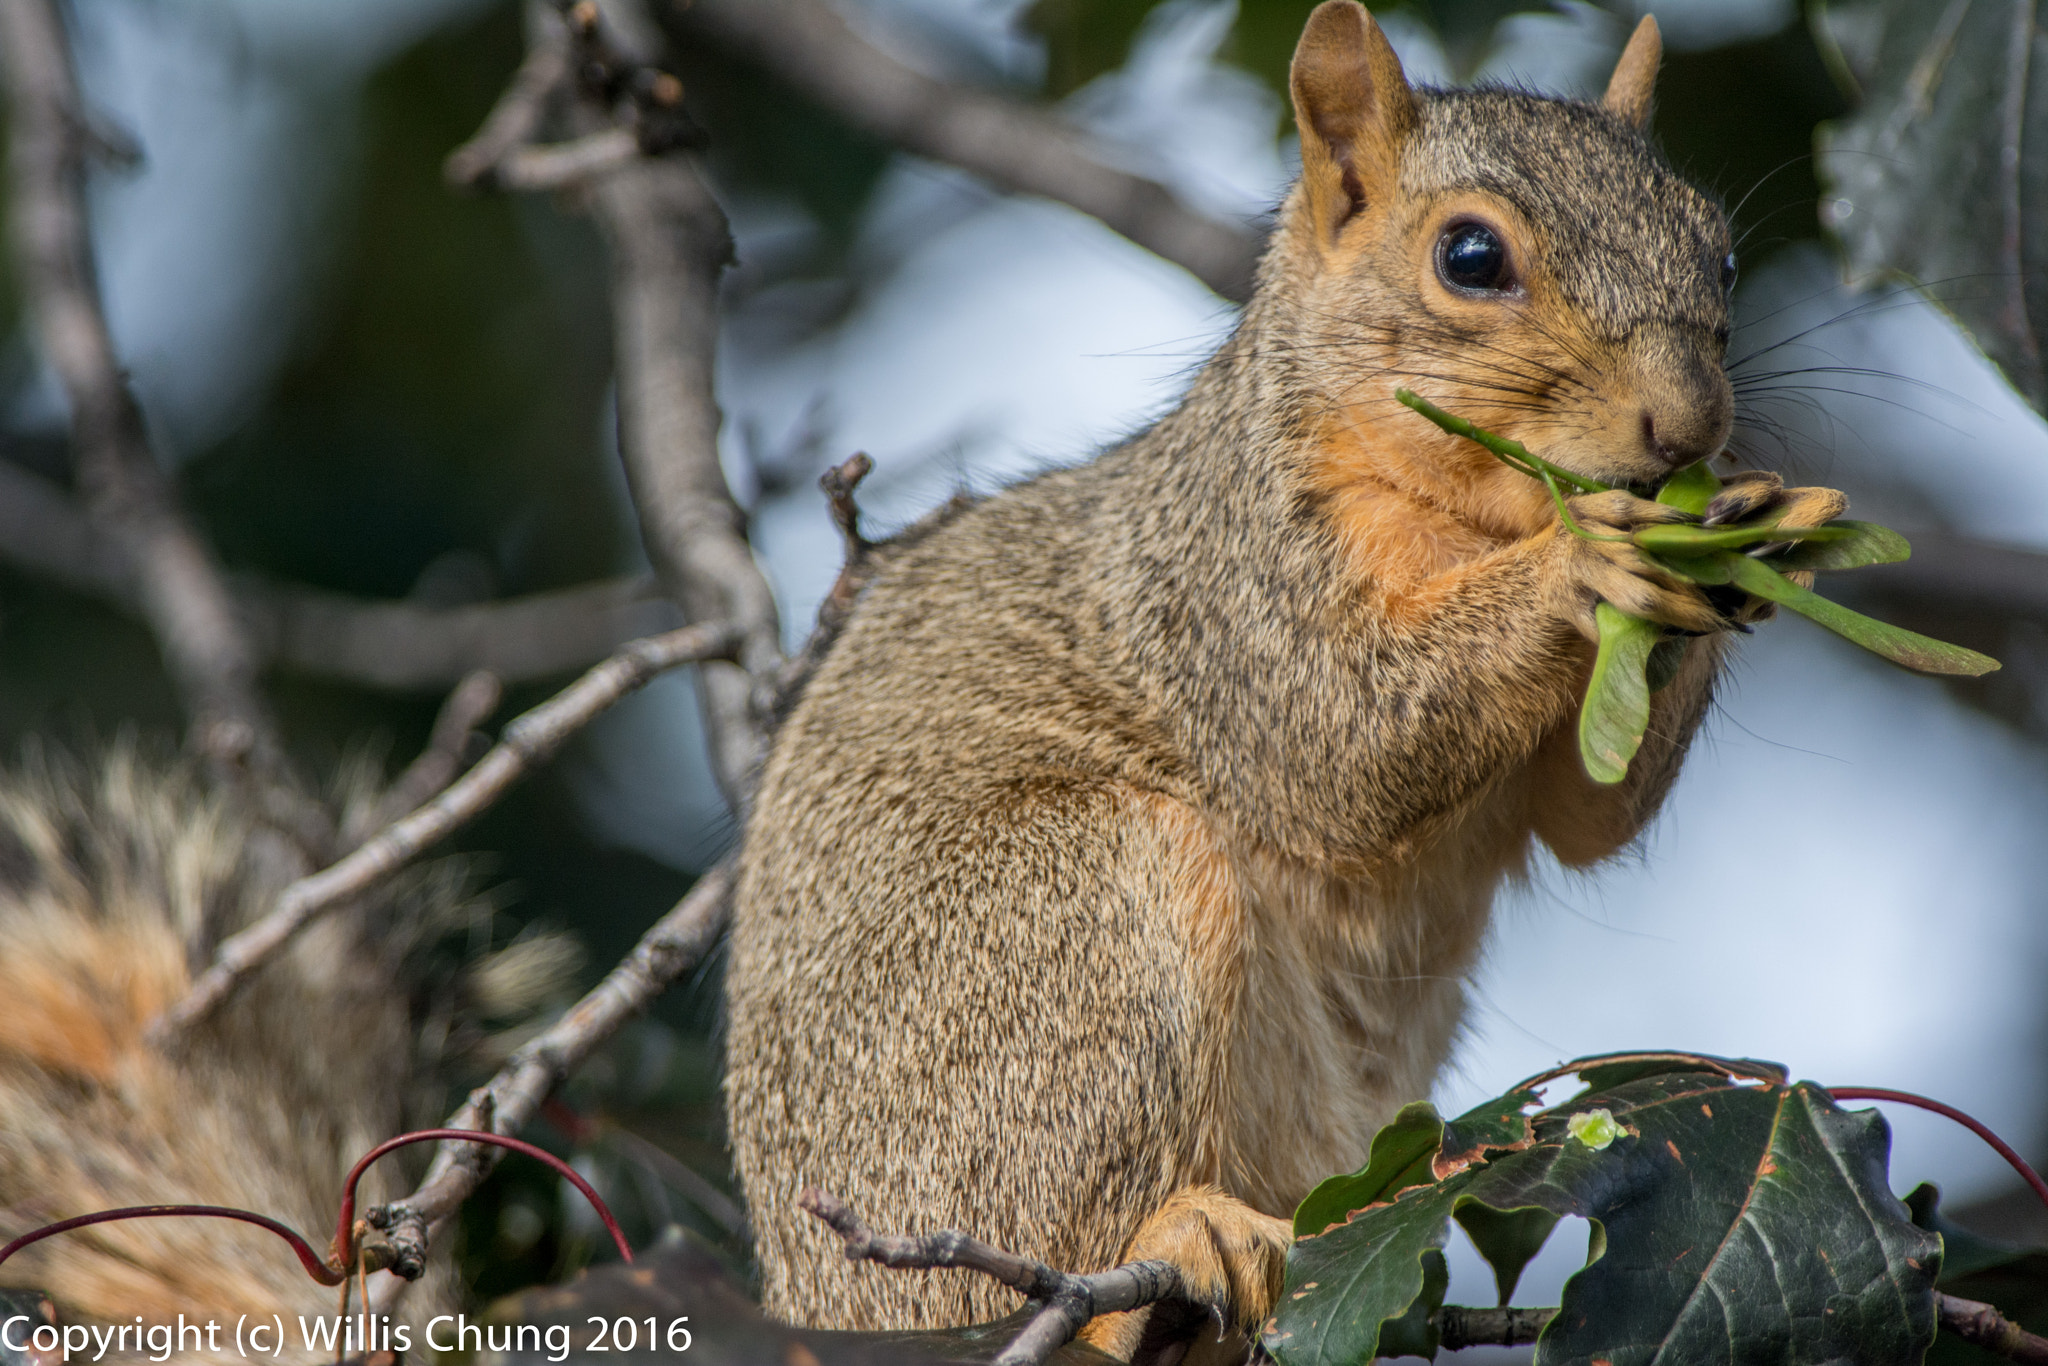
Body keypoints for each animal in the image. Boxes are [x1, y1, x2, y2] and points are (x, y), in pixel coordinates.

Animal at [724, 5, 1859, 1359]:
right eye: (1469, 256)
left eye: (1721, 258)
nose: (1685, 429)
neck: (1476, 513)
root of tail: (814, 1299)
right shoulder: (1223, 585)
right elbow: (1337, 745)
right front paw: (1589, 560)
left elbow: (1585, 815)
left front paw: (1760, 525)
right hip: (1066, 934)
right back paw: (1173, 1237)